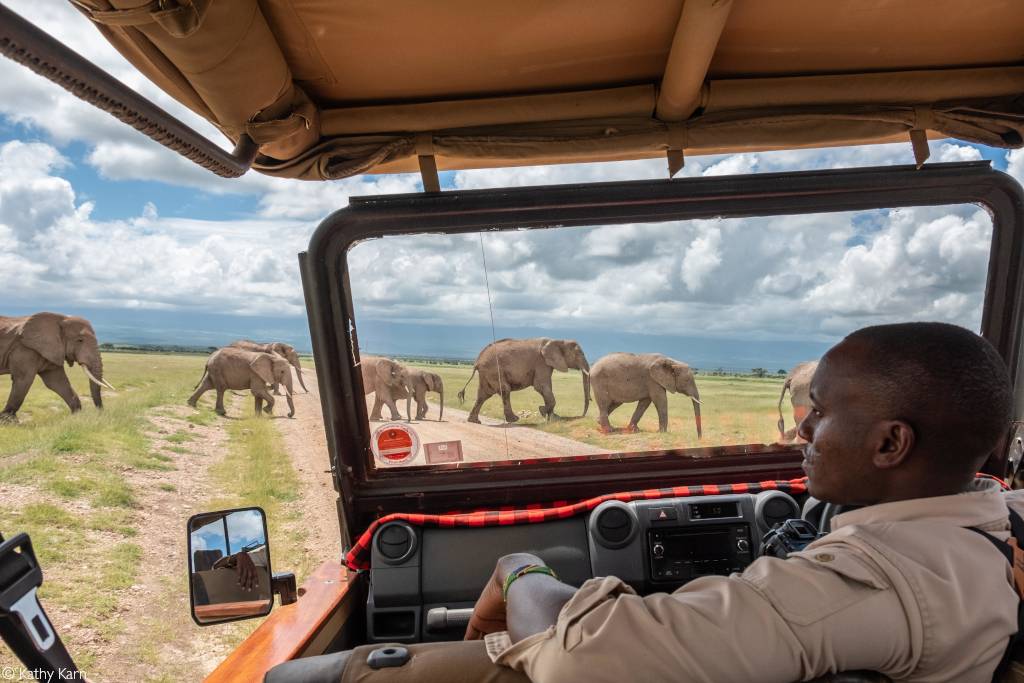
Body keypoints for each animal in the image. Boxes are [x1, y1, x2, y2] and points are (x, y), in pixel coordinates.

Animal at [458, 339, 593, 423]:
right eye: (580, 353)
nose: (581, 416)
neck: (558, 340)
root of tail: (477, 361)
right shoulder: (541, 362)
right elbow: (541, 386)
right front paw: (543, 411)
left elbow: (546, 389)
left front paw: (553, 418)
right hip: (493, 370)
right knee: (504, 390)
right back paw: (514, 419)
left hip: (487, 373)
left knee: (483, 395)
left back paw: (474, 421)